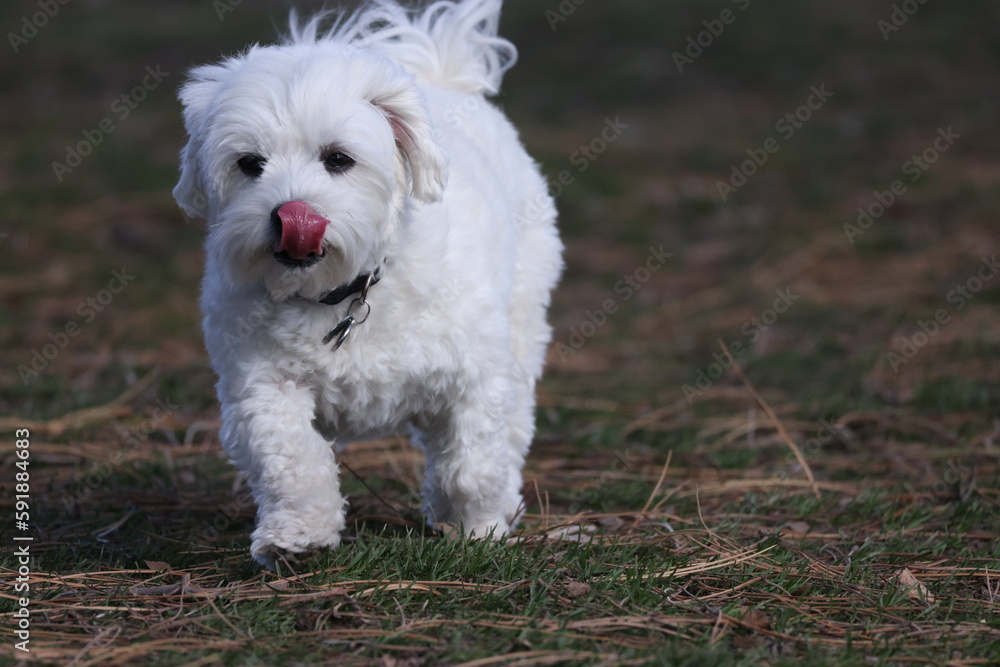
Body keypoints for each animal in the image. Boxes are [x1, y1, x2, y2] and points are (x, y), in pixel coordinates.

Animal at [172, 0, 564, 572]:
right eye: (249, 164)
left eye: (338, 158)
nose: (292, 215)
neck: (341, 292)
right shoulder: (262, 385)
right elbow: (293, 457)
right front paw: (298, 536)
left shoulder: (475, 377)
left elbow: (471, 464)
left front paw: (479, 527)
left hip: (523, 323)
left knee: (511, 425)